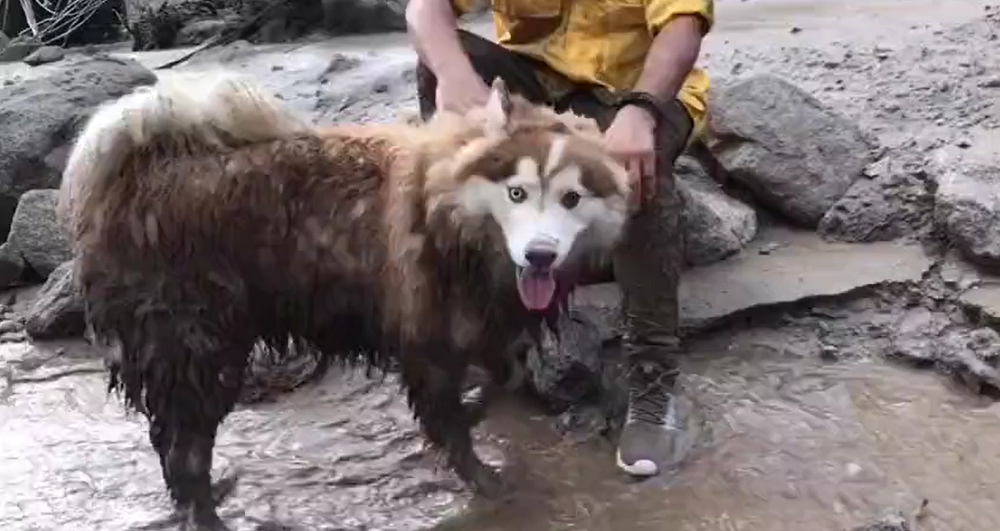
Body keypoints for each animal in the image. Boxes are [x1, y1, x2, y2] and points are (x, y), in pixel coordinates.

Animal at [58, 71, 628, 531]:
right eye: (517, 192)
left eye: (571, 198)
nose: (540, 256)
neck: (450, 221)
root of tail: (140, 169)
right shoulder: (426, 338)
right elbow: (452, 419)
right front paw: (476, 470)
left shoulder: (484, 328)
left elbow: (500, 382)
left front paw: (473, 415)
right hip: (200, 350)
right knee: (185, 449)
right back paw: (205, 512)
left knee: (169, 439)